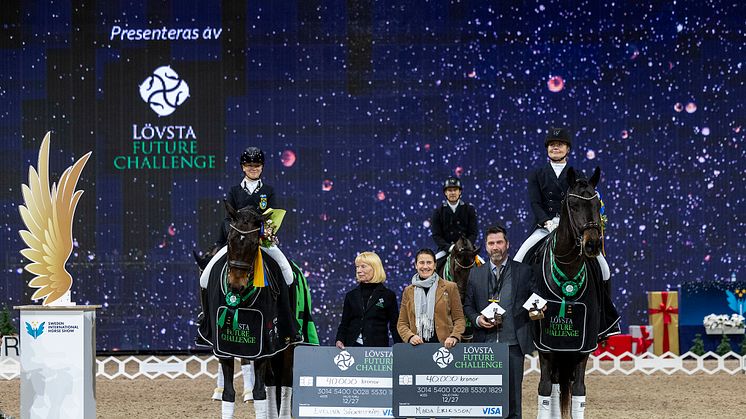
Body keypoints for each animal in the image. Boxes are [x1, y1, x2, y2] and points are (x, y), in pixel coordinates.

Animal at [196, 204, 316, 419]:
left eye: (254, 243)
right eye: (230, 240)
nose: (236, 285)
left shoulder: (263, 343)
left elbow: (260, 392)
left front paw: (249, 395)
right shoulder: (225, 345)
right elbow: (229, 393)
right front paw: (223, 392)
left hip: (287, 343)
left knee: (285, 381)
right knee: (271, 381)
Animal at [524, 168, 620, 419]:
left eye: (596, 204)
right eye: (573, 205)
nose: (592, 245)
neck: (568, 269)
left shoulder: (584, 344)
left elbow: (578, 390)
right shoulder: (545, 345)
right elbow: (545, 388)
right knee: (554, 385)